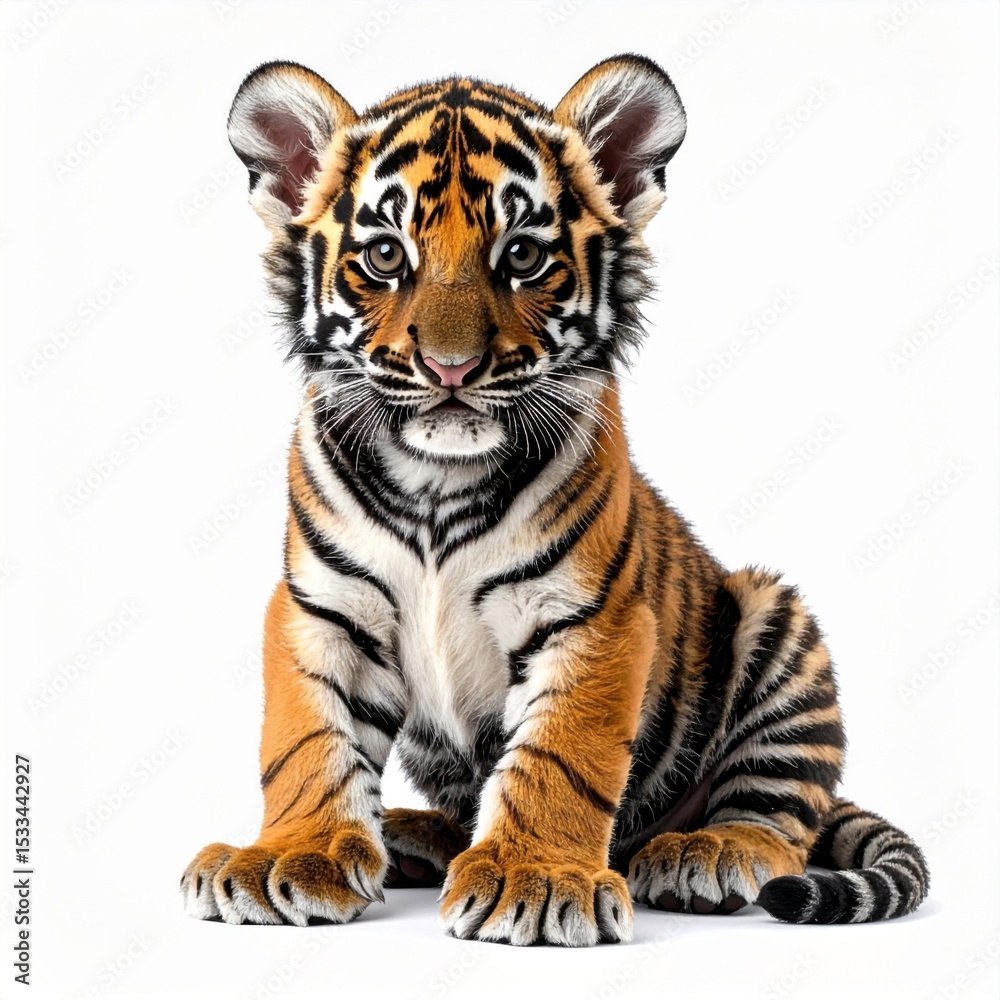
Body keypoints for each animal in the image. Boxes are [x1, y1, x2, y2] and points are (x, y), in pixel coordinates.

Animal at [180, 53, 929, 945]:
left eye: (525, 256)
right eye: (387, 255)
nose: (451, 368)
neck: (437, 483)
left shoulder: (592, 616)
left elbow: (559, 754)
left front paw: (533, 880)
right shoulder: (322, 607)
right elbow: (306, 740)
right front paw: (291, 856)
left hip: (775, 623)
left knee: (781, 814)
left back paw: (708, 850)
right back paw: (411, 835)